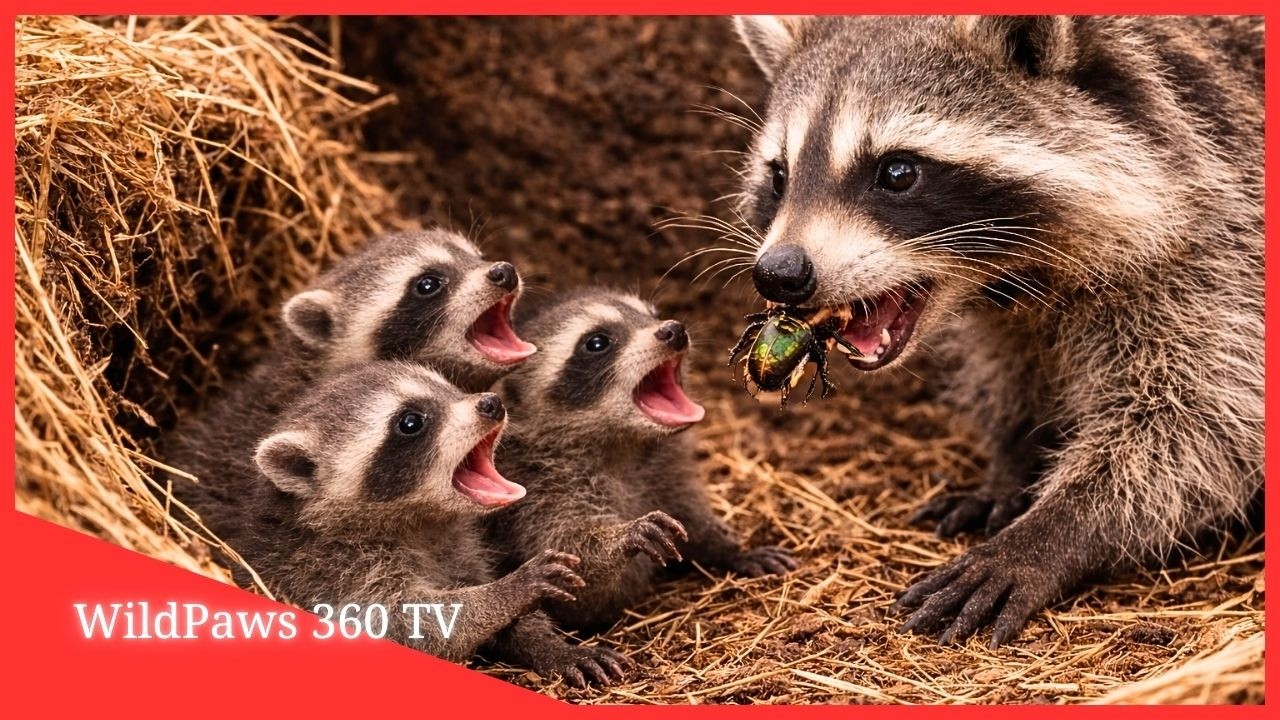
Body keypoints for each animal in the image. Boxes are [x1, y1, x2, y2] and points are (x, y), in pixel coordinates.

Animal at [186, 360, 627, 681]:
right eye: (410, 422)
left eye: (450, 388)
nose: (491, 403)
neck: (421, 523)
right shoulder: (332, 573)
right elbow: (414, 627)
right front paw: (510, 590)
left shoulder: (460, 549)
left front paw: (550, 645)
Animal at [487, 289, 797, 633]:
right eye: (597, 343)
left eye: (651, 314)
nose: (674, 329)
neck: (626, 446)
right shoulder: (538, 491)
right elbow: (577, 587)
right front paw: (621, 539)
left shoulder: (664, 471)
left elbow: (689, 515)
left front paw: (726, 547)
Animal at [730, 15, 1263, 646]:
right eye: (779, 176)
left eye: (898, 172)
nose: (779, 273)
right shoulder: (1011, 316)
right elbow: (1015, 372)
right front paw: (1015, 460)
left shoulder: (1221, 250)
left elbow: (1202, 427)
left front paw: (1052, 532)